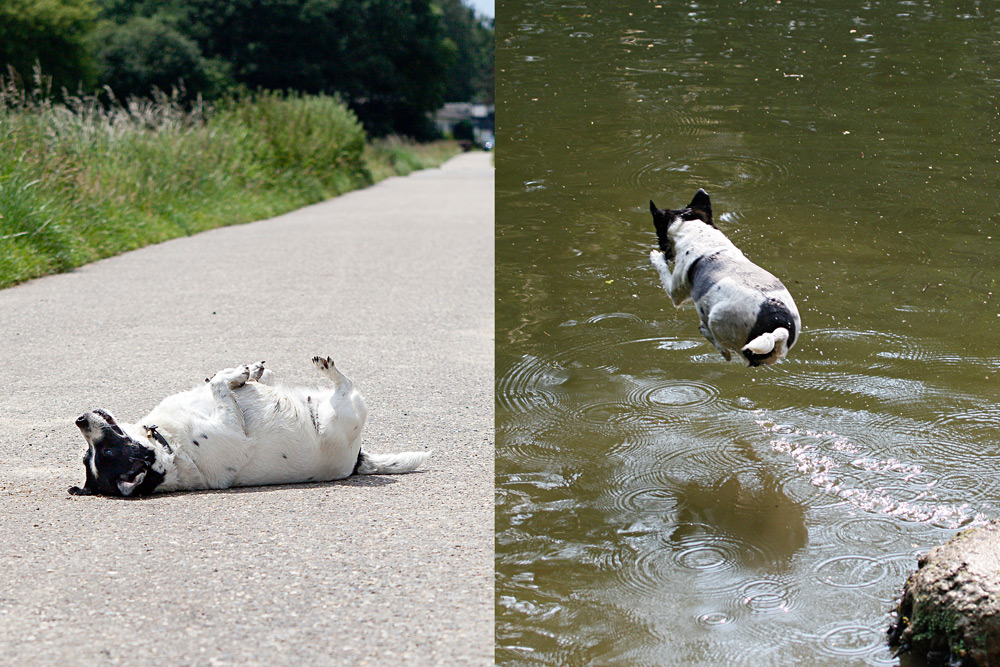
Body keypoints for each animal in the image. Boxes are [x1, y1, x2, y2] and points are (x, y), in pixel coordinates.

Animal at [70, 360, 430, 496]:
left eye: (92, 453)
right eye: (106, 451)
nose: (80, 420)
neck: (170, 446)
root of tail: (357, 460)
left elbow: (227, 381)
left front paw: (250, 373)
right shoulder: (232, 429)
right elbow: (221, 386)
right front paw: (236, 376)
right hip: (343, 411)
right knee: (345, 385)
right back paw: (327, 368)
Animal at [648, 188, 804, 368]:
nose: (664, 251)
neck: (697, 230)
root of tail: (780, 323)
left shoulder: (675, 291)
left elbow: (663, 270)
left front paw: (655, 257)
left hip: (719, 320)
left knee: (728, 351)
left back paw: (707, 331)